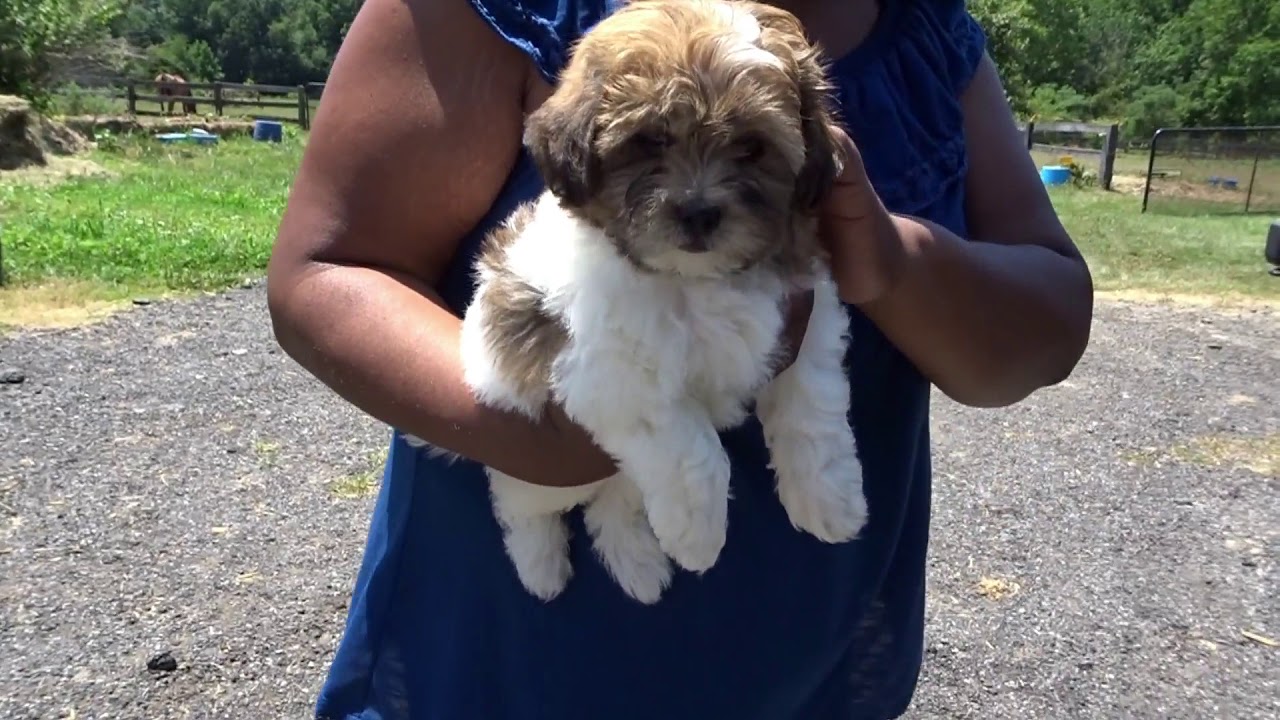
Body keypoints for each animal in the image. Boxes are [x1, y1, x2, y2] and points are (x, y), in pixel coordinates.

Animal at [409, 0, 870, 602]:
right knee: (520, 503)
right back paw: (541, 565)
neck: (694, 279)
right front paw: (700, 535)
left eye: (752, 146)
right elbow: (691, 446)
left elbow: (812, 405)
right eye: (651, 141)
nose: (699, 212)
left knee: (614, 503)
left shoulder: (807, 314)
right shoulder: (612, 374)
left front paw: (830, 500)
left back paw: (637, 563)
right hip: (532, 450)